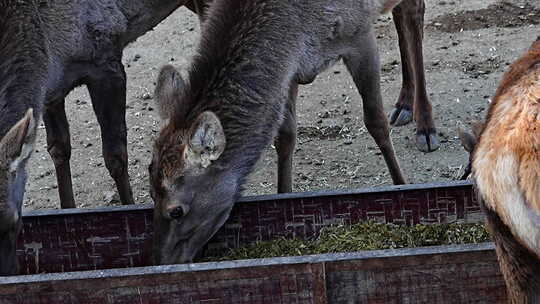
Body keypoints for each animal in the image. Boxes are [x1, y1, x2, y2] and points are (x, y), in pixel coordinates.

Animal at [149, 0, 410, 264]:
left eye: (176, 211)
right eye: (151, 195)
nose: (161, 261)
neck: (299, 29)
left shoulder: (360, 32)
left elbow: (376, 121)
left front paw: (401, 187)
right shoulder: (290, 70)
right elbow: (285, 137)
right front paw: (284, 198)